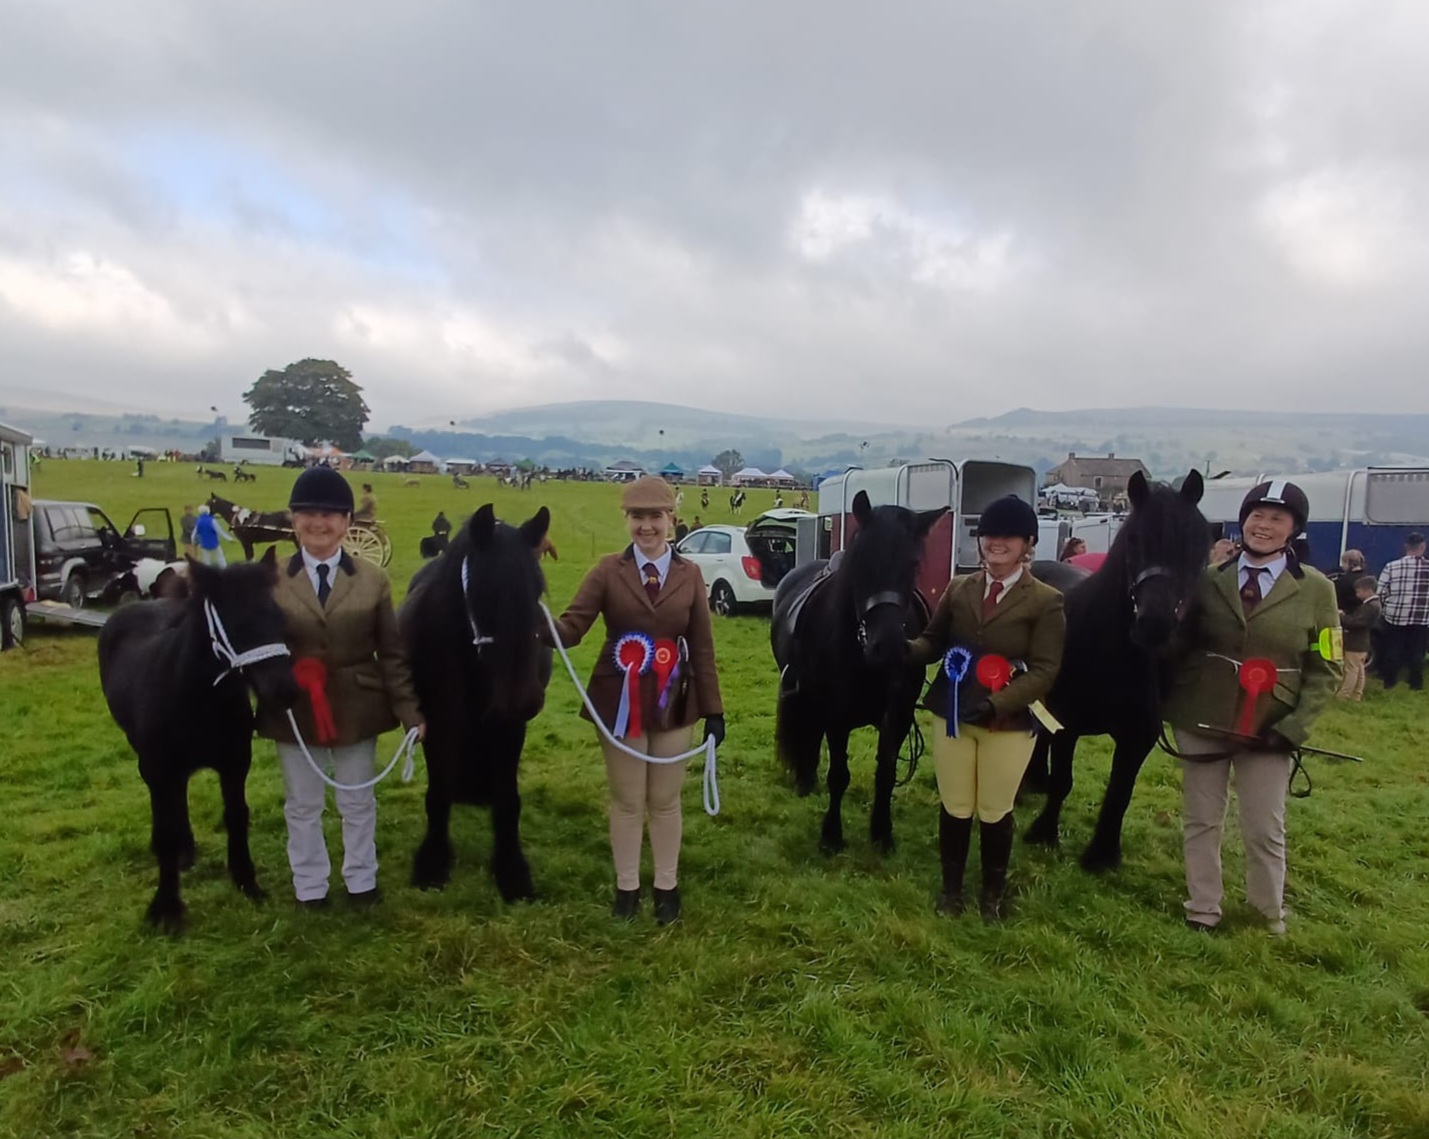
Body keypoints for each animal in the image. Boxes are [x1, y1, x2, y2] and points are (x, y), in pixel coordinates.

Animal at [95, 551, 298, 931]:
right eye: (237, 623)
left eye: (281, 617)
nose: (285, 691)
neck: (198, 698)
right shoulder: (160, 768)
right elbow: (164, 832)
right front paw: (167, 909)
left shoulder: (235, 763)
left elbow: (236, 815)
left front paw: (247, 882)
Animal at [405, 503, 554, 903]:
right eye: (485, 591)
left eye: (537, 590)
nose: (523, 699)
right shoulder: (437, 722)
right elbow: (438, 793)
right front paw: (433, 862)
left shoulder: (509, 727)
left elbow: (508, 800)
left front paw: (511, 869)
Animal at [771, 488, 948, 851]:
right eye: (862, 561)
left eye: (913, 564)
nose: (889, 647)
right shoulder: (835, 716)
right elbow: (839, 775)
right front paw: (831, 835)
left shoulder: (898, 716)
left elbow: (887, 772)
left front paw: (882, 832)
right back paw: (806, 779)